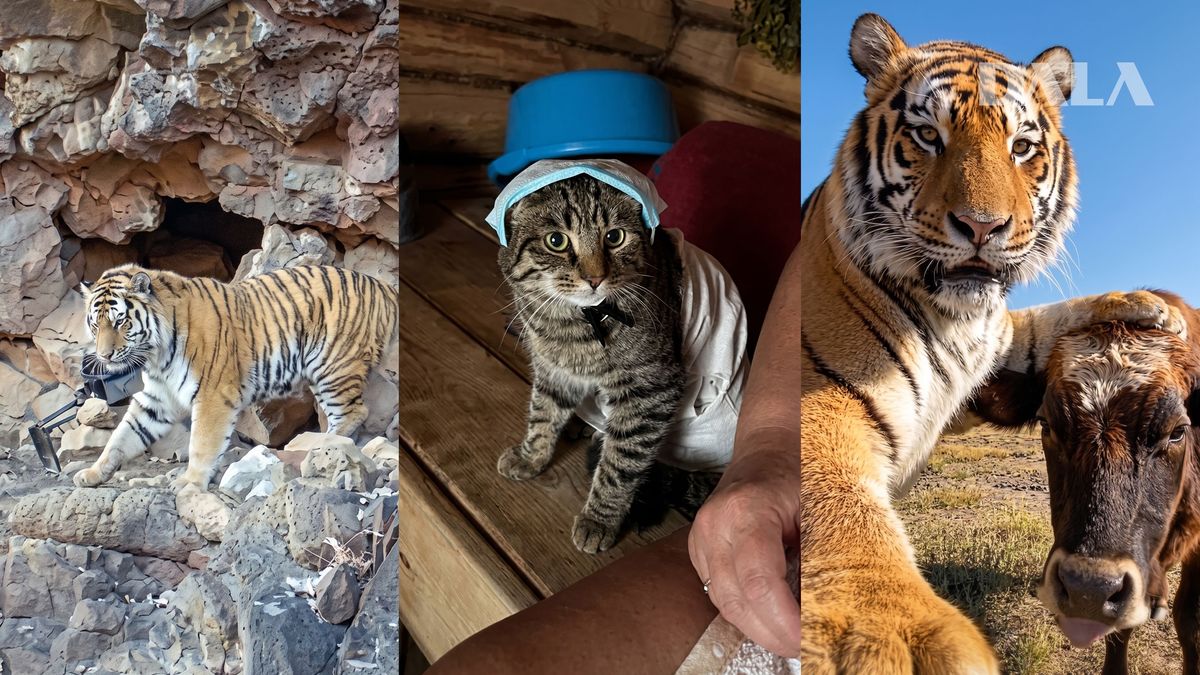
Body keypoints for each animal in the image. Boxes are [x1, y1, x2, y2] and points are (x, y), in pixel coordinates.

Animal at [73, 263, 398, 490]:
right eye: (95, 324)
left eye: (120, 322)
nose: (104, 356)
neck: (156, 354)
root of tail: (382, 286)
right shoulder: (155, 400)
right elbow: (121, 437)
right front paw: (92, 472)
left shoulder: (212, 396)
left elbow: (202, 444)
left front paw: (190, 482)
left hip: (332, 366)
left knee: (355, 412)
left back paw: (313, 444)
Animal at [798, 14, 1186, 672]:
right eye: (927, 135)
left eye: (1022, 147)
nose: (983, 227)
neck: (952, 317)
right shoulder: (824, 392)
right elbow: (835, 500)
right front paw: (887, 629)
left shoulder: (999, 342)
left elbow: (1049, 317)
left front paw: (1147, 305)